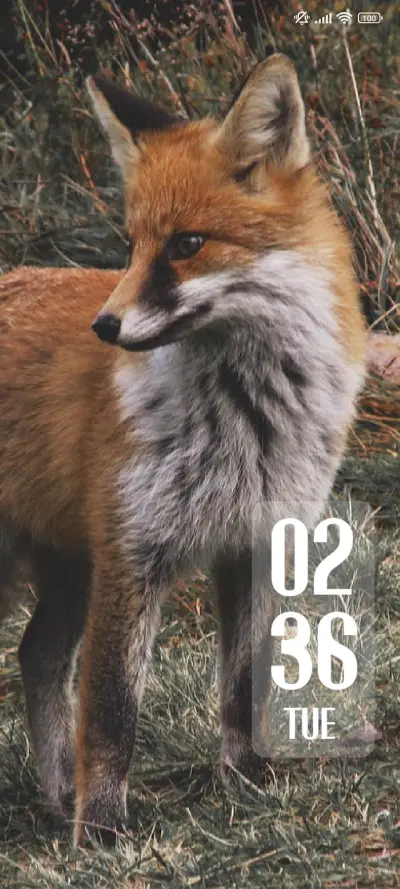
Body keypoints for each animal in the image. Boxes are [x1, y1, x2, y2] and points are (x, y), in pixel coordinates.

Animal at [0, 54, 366, 844]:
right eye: (130, 244)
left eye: (187, 244)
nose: (105, 326)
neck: (246, 422)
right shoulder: (132, 552)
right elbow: (111, 713)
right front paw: (102, 836)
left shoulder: (256, 542)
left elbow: (243, 687)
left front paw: (247, 785)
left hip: (68, 567)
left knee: (36, 655)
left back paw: (56, 793)